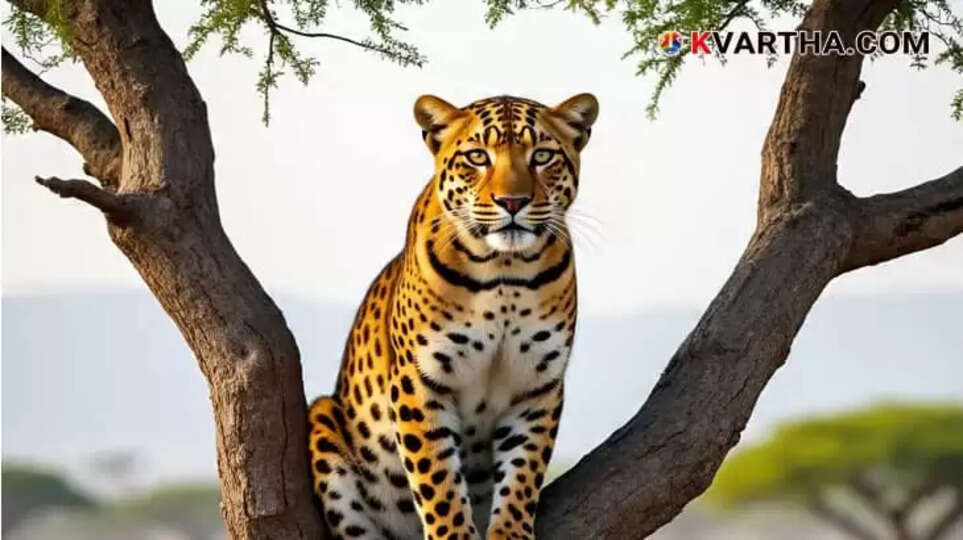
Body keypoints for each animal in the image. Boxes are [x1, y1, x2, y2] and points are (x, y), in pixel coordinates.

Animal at [308, 92, 598, 540]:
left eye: (542, 156)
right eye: (477, 157)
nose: (512, 203)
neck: (504, 271)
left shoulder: (537, 384)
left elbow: (523, 471)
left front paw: (510, 532)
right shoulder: (419, 380)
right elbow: (437, 477)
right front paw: (454, 534)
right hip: (324, 421)